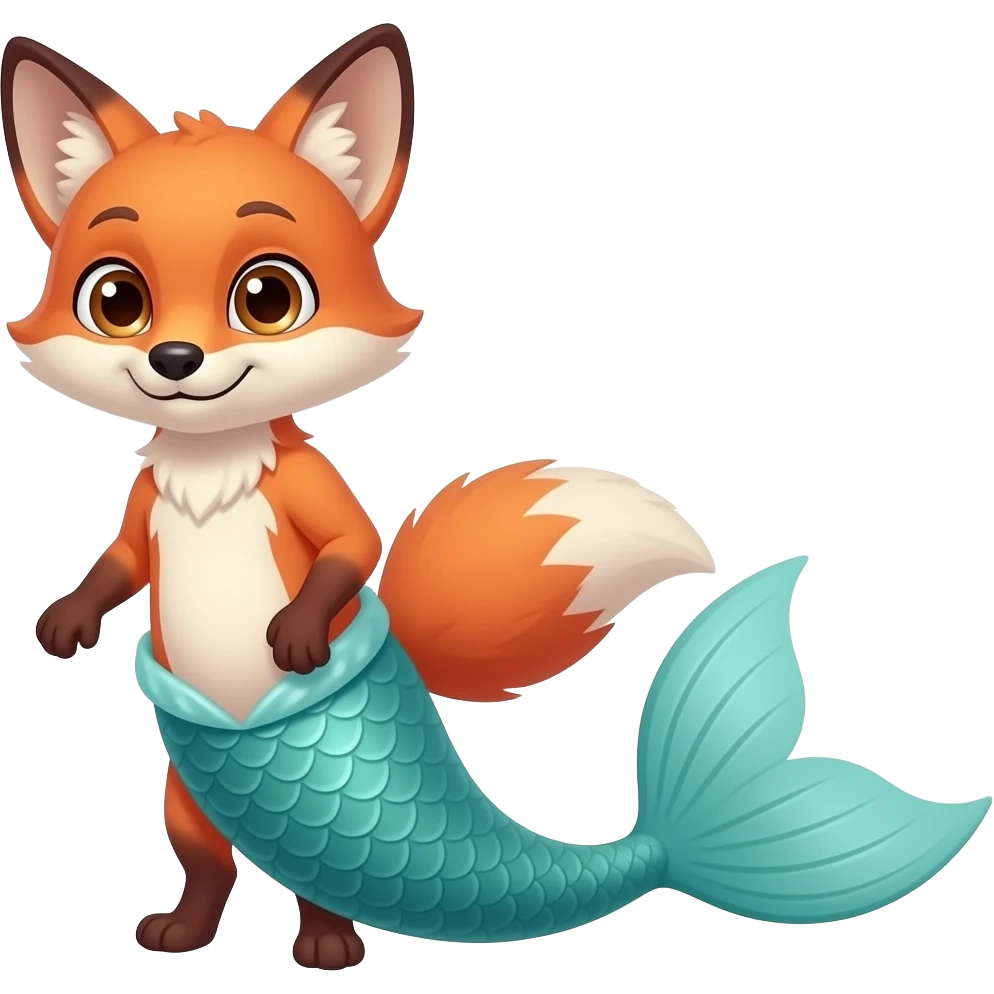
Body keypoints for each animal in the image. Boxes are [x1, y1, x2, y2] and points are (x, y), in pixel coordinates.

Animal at [3, 25, 991, 973]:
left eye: (269, 297)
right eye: (116, 300)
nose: (174, 362)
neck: (214, 459)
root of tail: (662, 845)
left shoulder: (311, 487)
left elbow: (350, 548)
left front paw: (298, 631)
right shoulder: (145, 501)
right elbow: (124, 557)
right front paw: (69, 619)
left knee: (312, 886)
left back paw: (328, 947)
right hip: (190, 790)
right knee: (206, 854)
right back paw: (185, 931)